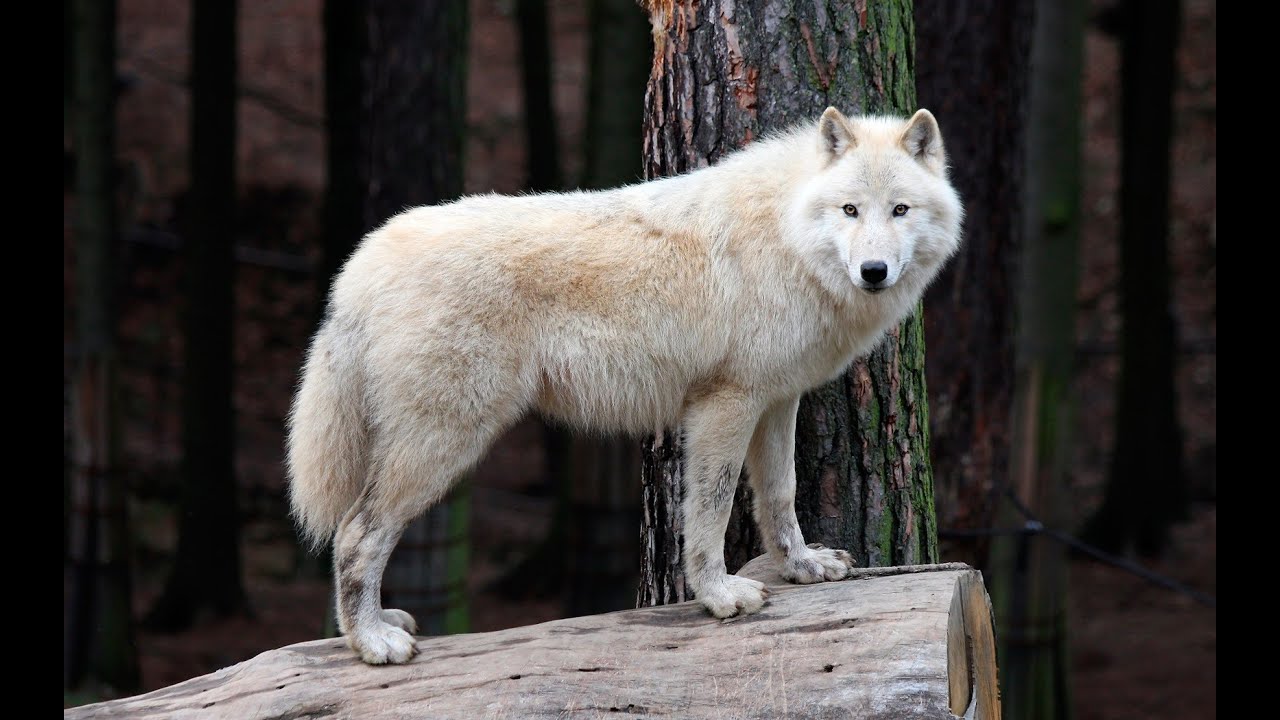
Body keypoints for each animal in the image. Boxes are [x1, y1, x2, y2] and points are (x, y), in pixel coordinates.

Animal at [286, 107, 963, 664]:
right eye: (850, 210)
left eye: (899, 210)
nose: (873, 271)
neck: (786, 233)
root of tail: (362, 263)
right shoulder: (725, 404)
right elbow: (712, 510)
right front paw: (719, 596)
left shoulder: (776, 400)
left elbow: (780, 496)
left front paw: (802, 567)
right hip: (444, 444)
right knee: (355, 534)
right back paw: (372, 642)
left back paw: (375, 626)